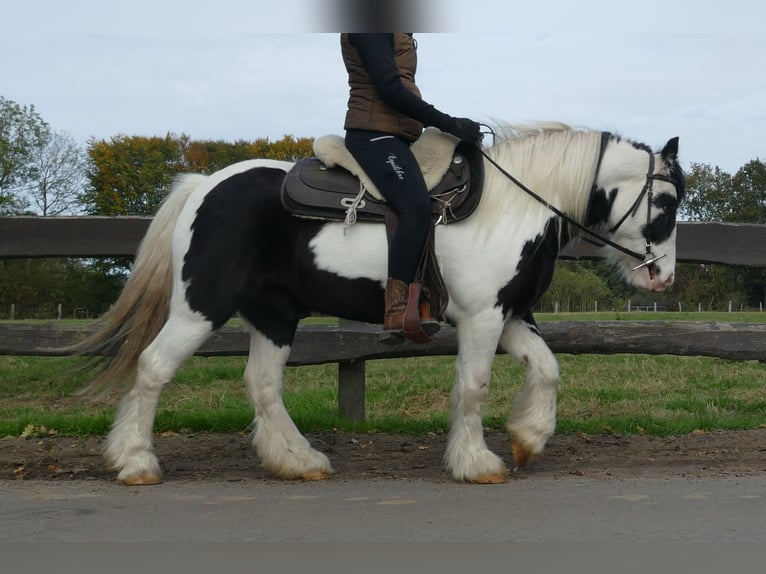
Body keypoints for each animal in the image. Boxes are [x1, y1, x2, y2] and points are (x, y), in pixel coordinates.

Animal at [73, 122, 684, 486]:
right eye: (667, 201)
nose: (664, 277)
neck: (513, 206)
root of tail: (203, 185)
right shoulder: (482, 318)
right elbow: (474, 386)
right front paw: (477, 462)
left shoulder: (507, 315)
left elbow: (549, 369)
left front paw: (528, 439)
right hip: (201, 306)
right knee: (153, 367)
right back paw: (135, 462)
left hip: (275, 315)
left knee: (263, 384)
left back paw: (298, 460)